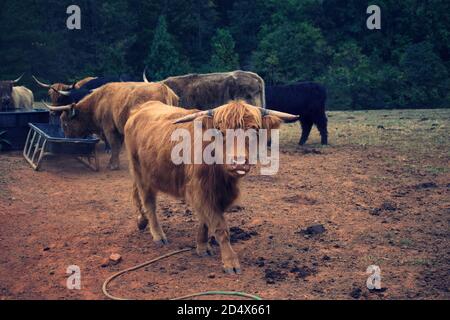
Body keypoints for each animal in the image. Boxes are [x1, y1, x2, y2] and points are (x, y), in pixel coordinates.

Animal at [43, 82, 178, 170]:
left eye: (65, 124)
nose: (67, 140)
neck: (98, 103)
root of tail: (163, 88)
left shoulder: (109, 128)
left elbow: (114, 145)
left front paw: (113, 164)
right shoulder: (120, 129)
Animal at [125, 100, 298, 272]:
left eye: (254, 130)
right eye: (221, 131)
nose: (238, 163)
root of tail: (143, 106)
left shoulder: (215, 194)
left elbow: (205, 221)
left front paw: (202, 246)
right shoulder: (200, 191)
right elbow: (220, 226)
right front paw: (230, 261)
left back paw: (142, 220)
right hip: (140, 171)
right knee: (149, 203)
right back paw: (158, 235)